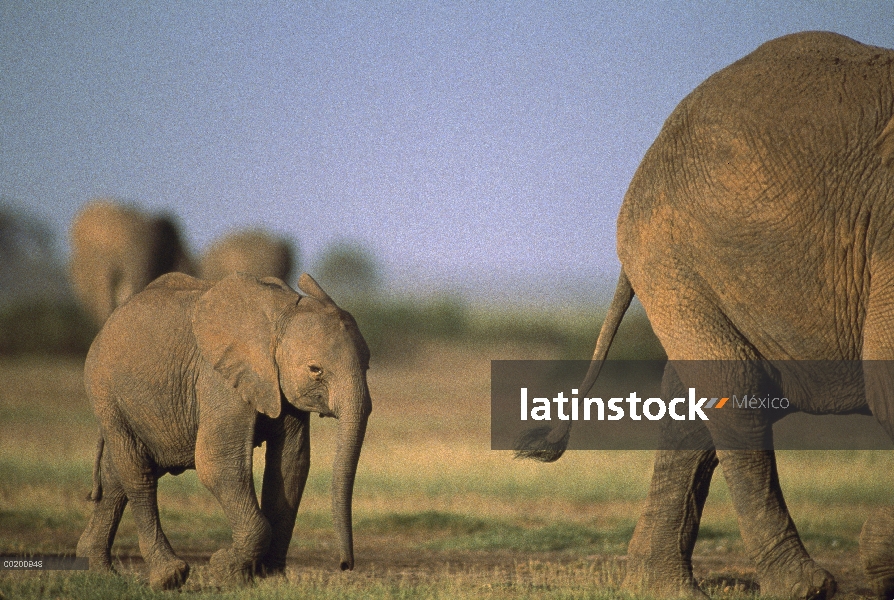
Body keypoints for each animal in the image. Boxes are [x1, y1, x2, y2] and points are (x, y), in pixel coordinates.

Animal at [76, 272, 372, 592]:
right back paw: (167, 576)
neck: (281, 314)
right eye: (315, 370)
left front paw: (272, 581)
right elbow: (218, 464)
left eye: (368, 365)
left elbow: (290, 466)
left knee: (115, 477)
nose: (345, 566)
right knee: (136, 473)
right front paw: (226, 571)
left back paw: (98, 572)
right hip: (104, 392)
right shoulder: (218, 379)